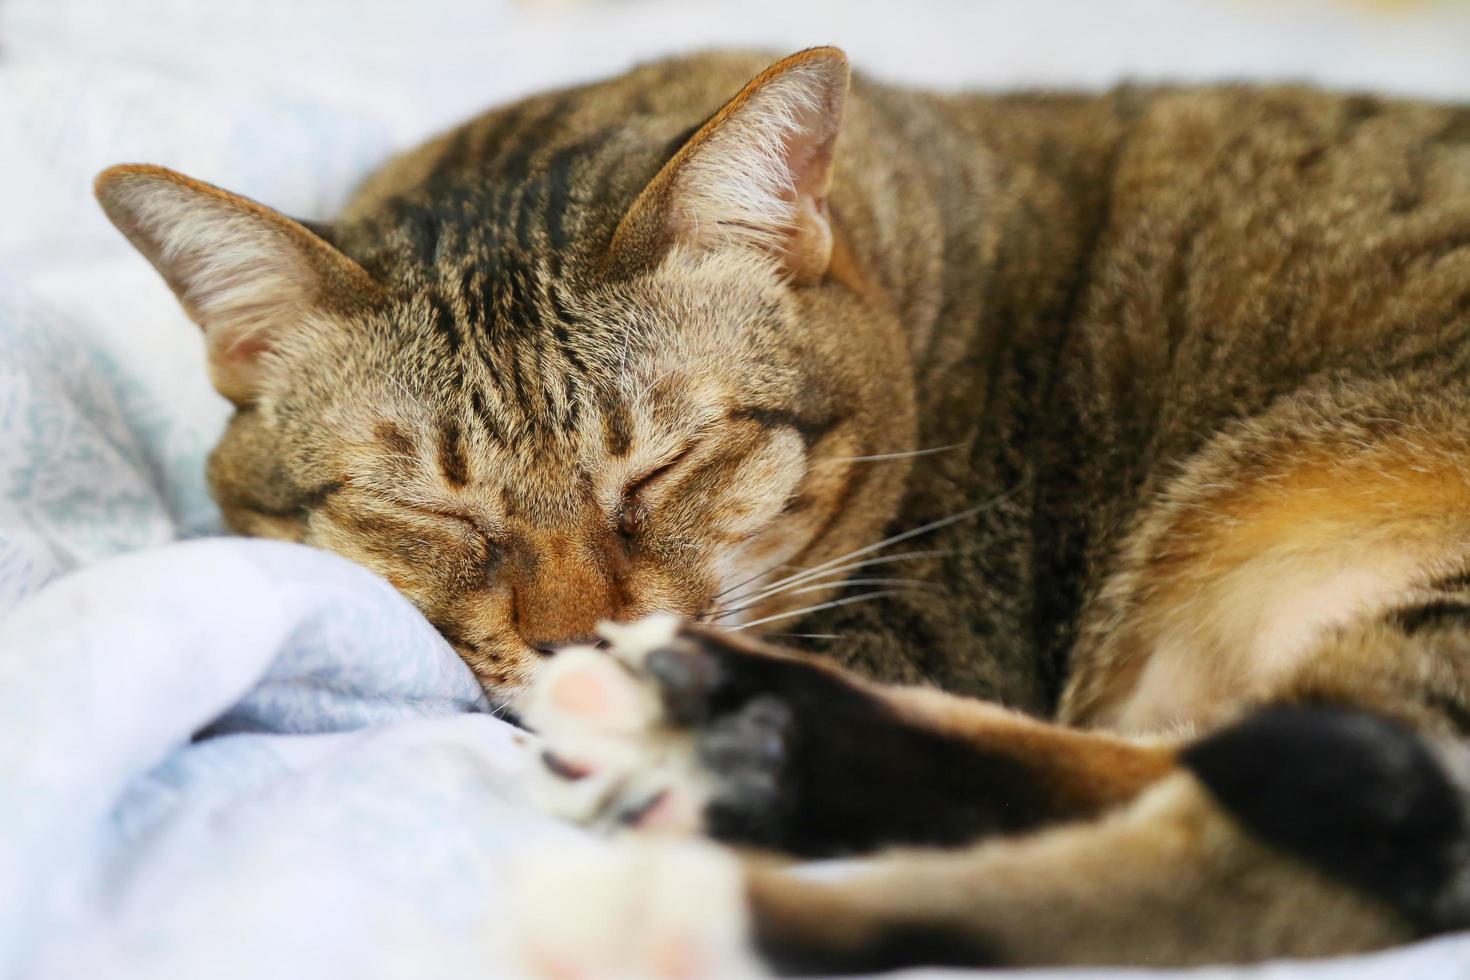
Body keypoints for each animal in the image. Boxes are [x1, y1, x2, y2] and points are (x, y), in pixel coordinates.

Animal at [91, 44, 1470, 975]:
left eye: (664, 466)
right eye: (429, 508)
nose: (579, 636)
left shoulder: (927, 618)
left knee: (1296, 848)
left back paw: (677, 869)